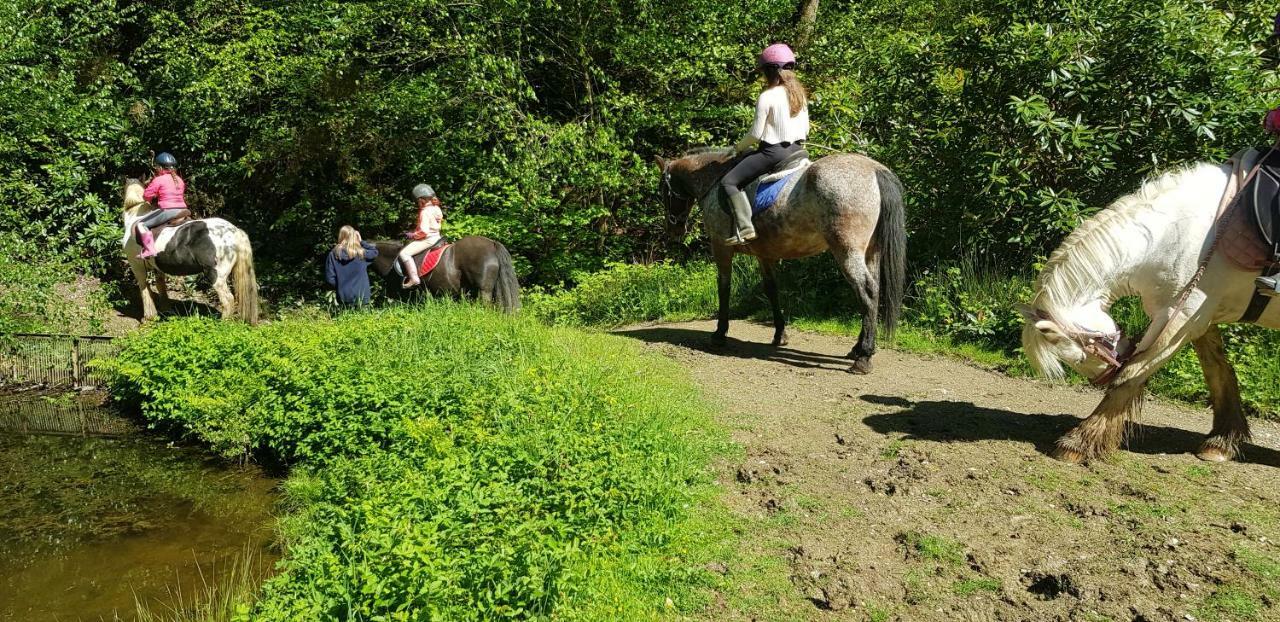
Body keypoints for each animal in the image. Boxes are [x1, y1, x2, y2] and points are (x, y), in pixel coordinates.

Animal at [120, 177, 258, 322]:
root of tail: (234, 231)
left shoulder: (137, 267)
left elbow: (144, 289)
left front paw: (148, 318)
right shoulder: (157, 268)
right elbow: (160, 286)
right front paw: (165, 310)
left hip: (216, 276)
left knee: (228, 300)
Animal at [660, 149, 911, 373]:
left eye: (665, 192)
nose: (673, 230)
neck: (714, 180)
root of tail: (875, 170)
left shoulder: (721, 248)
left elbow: (724, 288)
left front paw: (720, 334)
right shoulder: (764, 255)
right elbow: (772, 290)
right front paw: (780, 334)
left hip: (847, 251)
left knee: (866, 291)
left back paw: (863, 358)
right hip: (871, 252)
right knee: (873, 293)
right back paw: (858, 349)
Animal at [1018, 149, 1280, 460]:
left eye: (1081, 357)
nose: (1103, 377)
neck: (1177, 237)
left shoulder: (1181, 321)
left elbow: (1130, 376)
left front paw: (1078, 442)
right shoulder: (1198, 316)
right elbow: (1217, 371)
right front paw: (1221, 441)